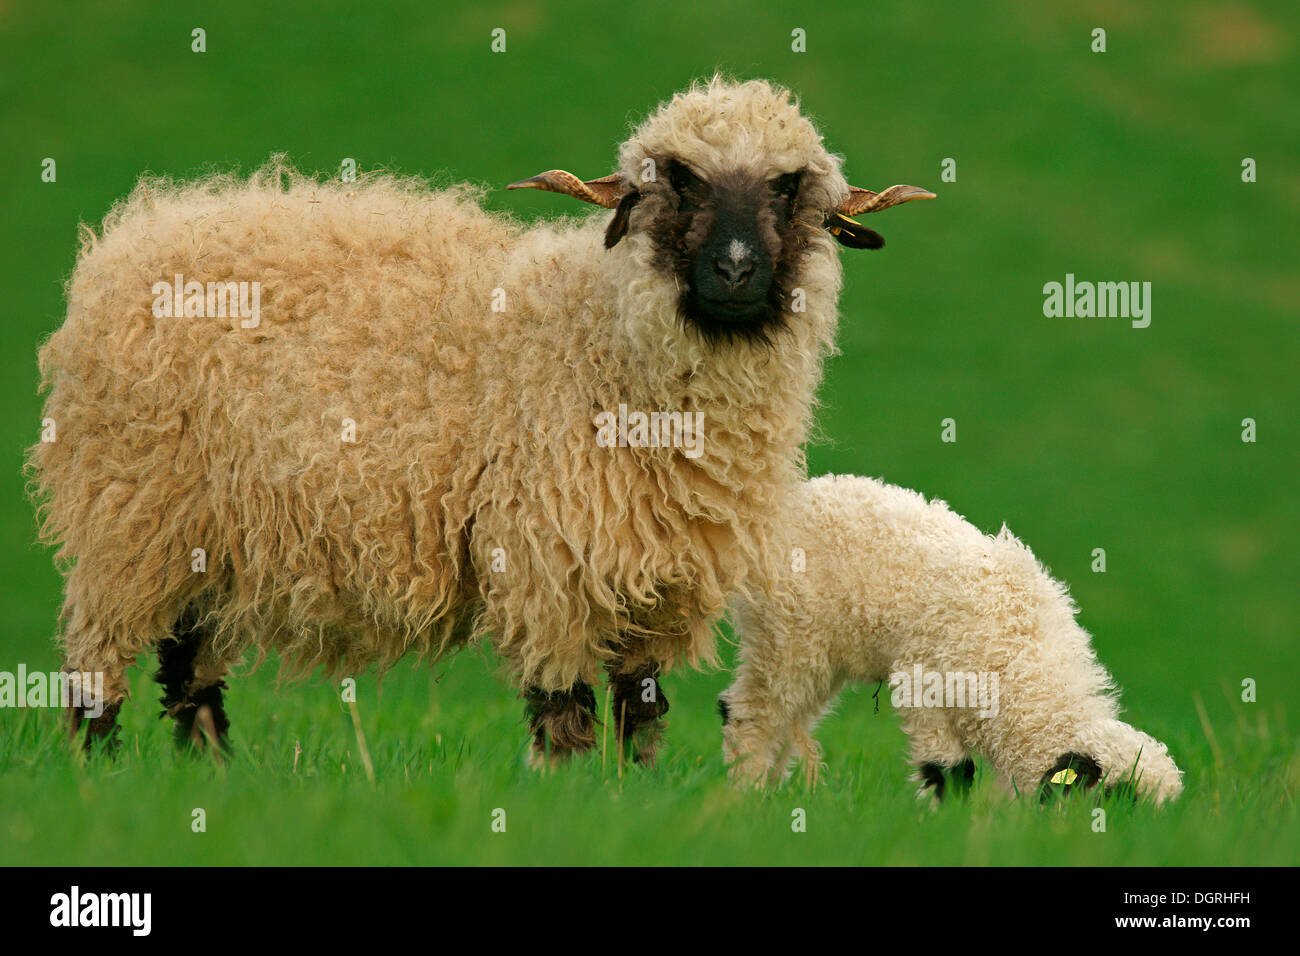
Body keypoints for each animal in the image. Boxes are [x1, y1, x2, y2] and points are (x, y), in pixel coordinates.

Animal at [27, 76, 935, 764]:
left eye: (788, 188)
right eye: (675, 179)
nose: (738, 270)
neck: (596, 335)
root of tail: (133, 233)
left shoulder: (662, 573)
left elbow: (641, 714)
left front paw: (634, 793)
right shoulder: (547, 553)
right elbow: (563, 709)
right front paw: (567, 795)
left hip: (210, 536)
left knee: (190, 671)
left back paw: (208, 777)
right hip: (130, 513)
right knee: (101, 664)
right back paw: (99, 773)